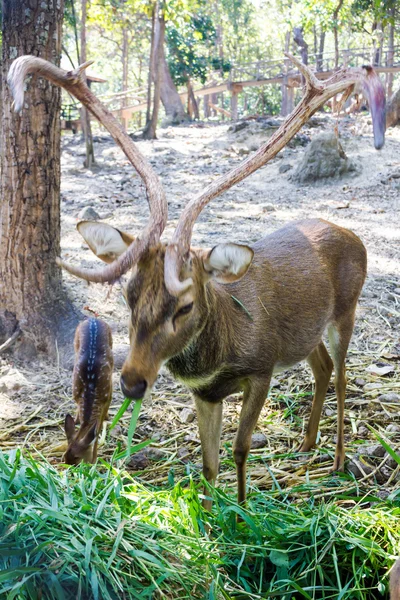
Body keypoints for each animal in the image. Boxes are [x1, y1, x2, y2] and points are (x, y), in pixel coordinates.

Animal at [63, 316, 114, 466]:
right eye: (65, 455)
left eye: (77, 457)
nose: (68, 465)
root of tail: (93, 318)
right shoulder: (75, 394)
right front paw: (76, 419)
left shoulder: (107, 398)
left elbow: (97, 432)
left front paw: (94, 459)